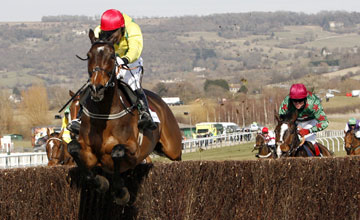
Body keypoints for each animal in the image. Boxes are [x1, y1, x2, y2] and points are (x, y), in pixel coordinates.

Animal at [67, 28, 181, 205]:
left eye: (112, 56)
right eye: (89, 55)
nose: (97, 88)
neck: (104, 115)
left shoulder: (134, 151)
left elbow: (117, 151)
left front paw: (121, 192)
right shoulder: (90, 153)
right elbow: (73, 149)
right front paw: (101, 183)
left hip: (173, 147)